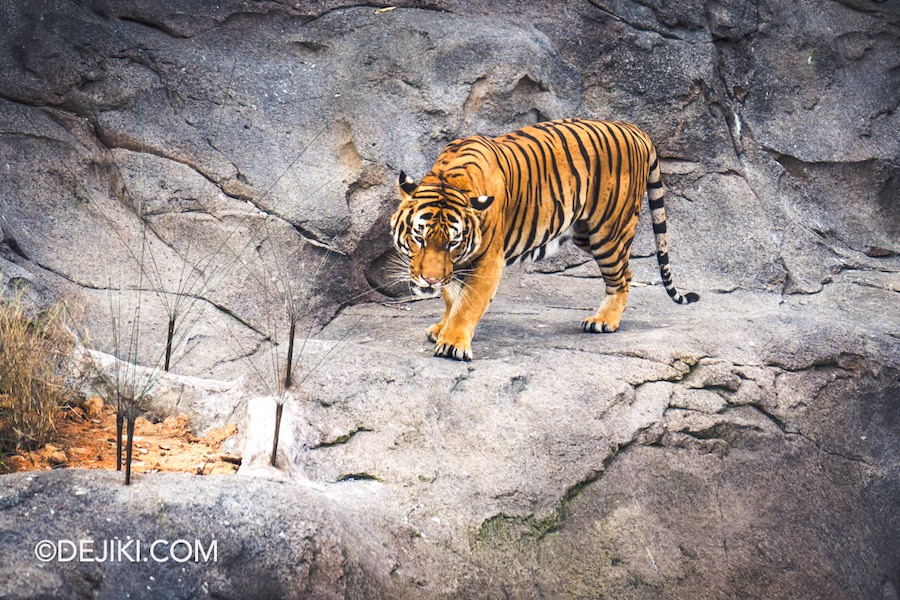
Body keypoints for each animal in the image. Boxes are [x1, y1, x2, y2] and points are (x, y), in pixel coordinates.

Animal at [390, 118, 700, 360]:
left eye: (453, 243)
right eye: (419, 237)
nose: (429, 280)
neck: (449, 179)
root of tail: (634, 129)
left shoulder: (488, 261)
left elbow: (467, 303)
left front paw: (453, 343)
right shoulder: (456, 266)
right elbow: (450, 296)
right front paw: (441, 327)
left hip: (609, 231)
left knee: (621, 277)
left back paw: (603, 321)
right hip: (585, 232)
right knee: (627, 271)